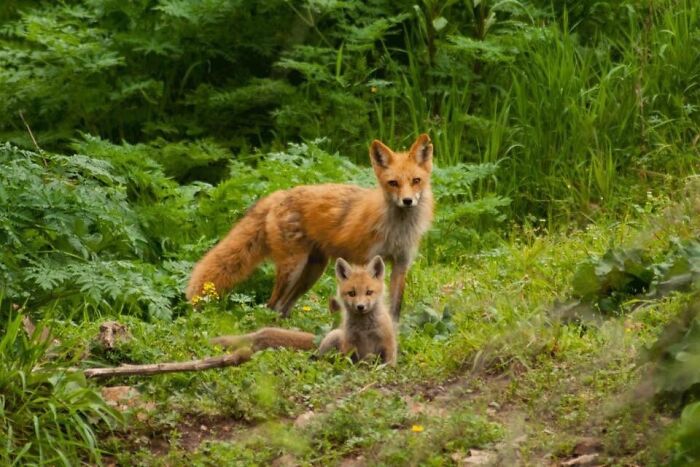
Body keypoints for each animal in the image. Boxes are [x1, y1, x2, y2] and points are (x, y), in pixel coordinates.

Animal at [186, 133, 434, 320]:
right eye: (393, 183)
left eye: (416, 181)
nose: (407, 201)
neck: (397, 230)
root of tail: (280, 194)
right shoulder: (366, 261)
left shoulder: (401, 264)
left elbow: (395, 308)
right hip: (292, 268)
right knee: (271, 305)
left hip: (312, 272)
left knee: (282, 308)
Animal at [211, 256, 397, 366]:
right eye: (351, 293)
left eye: (369, 292)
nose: (360, 307)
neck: (365, 329)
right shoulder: (349, 344)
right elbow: (349, 361)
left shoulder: (387, 342)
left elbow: (389, 362)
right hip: (334, 337)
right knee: (319, 357)